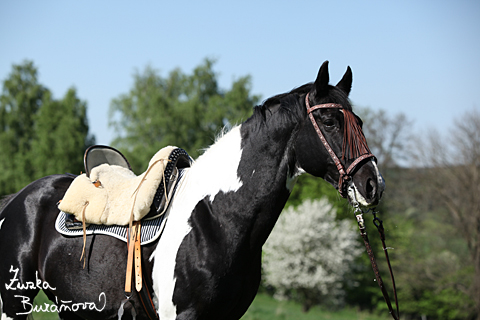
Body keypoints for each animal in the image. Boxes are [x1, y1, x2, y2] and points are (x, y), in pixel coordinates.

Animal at [0, 61, 384, 318]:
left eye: (360, 122)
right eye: (330, 121)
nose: (372, 184)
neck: (216, 218)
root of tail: (17, 199)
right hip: (13, 303)